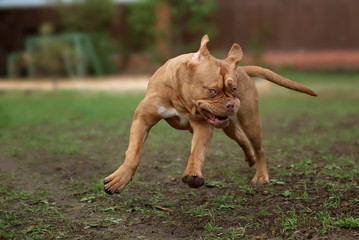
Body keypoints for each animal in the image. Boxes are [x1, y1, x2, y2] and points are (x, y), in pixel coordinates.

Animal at [104, 35, 318, 195]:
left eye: (233, 89)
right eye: (212, 91)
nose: (231, 104)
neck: (181, 98)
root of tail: (241, 68)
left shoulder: (203, 126)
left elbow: (197, 152)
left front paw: (193, 175)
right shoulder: (142, 119)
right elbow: (134, 152)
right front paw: (120, 178)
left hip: (250, 121)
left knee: (259, 147)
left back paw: (261, 175)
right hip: (230, 126)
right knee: (241, 138)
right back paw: (249, 158)